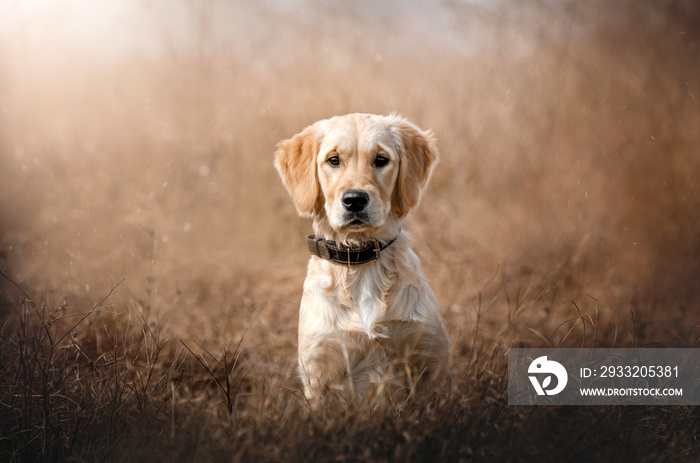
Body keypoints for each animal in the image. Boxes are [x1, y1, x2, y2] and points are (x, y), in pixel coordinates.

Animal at [274, 114, 448, 408]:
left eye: (381, 159)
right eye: (333, 160)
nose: (355, 200)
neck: (359, 259)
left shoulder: (428, 359)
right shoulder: (320, 372)